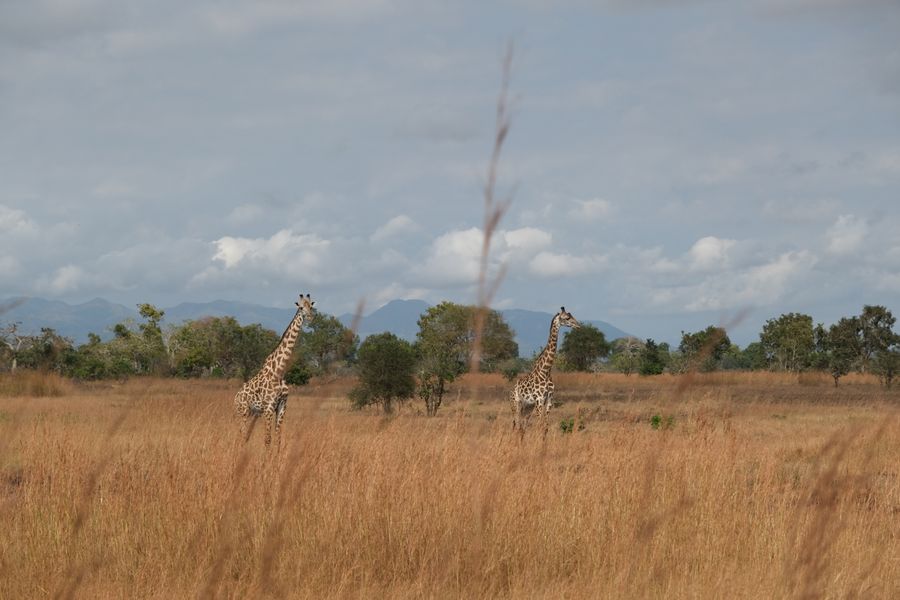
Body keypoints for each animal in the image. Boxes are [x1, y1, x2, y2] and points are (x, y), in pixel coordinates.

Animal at [234, 293, 315, 448]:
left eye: (311, 306)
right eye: (301, 307)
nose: (310, 317)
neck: (279, 370)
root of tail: (235, 397)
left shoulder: (282, 406)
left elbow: (278, 438)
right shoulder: (269, 406)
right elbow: (267, 439)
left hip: (253, 412)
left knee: (246, 435)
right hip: (243, 411)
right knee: (241, 435)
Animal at [509, 307, 580, 437]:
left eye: (571, 315)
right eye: (567, 318)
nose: (578, 325)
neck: (545, 371)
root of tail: (511, 389)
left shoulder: (549, 400)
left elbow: (545, 428)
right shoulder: (539, 399)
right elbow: (539, 426)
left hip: (527, 407)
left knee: (522, 427)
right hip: (515, 404)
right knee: (516, 425)